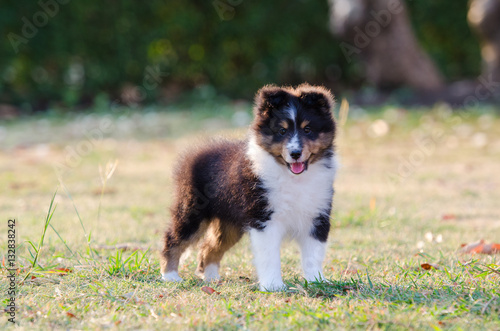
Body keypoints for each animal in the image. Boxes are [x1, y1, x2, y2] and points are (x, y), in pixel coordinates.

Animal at [162, 84, 338, 292]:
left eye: (308, 129)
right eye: (281, 131)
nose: (295, 153)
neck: (294, 178)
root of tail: (194, 153)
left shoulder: (317, 216)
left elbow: (314, 255)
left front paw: (317, 281)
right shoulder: (264, 218)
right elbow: (270, 256)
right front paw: (273, 286)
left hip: (230, 222)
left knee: (209, 247)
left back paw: (212, 278)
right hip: (193, 210)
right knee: (174, 238)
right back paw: (170, 276)